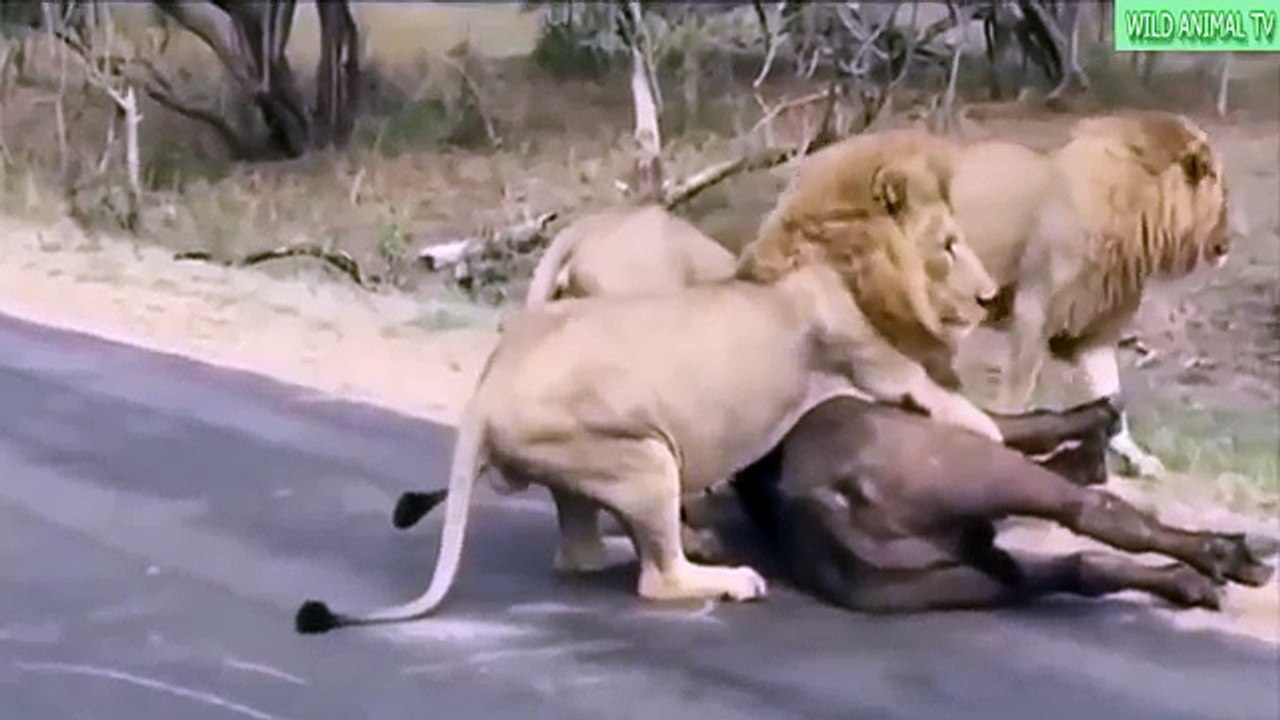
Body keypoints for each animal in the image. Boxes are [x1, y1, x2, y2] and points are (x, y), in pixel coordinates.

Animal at [947, 110, 1244, 477]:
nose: (1228, 243)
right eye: (1222, 192)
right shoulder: (1033, 308)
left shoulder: (1095, 328)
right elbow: (1018, 390)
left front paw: (1138, 458)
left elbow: (1111, 396)